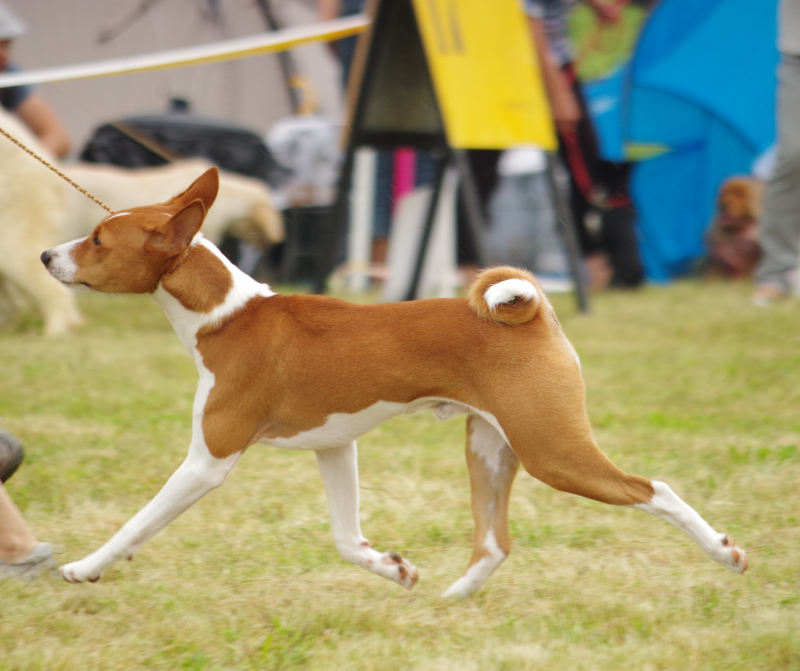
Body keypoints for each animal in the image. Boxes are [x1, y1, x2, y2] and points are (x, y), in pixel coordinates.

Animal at [39, 168, 752, 600]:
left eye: (97, 238)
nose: (46, 254)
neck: (226, 316)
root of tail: (534, 310)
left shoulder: (207, 459)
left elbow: (137, 524)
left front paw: (84, 567)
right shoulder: (335, 446)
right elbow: (346, 538)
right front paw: (392, 567)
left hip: (553, 450)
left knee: (654, 490)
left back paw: (725, 553)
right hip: (490, 447)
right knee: (494, 541)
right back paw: (451, 600)